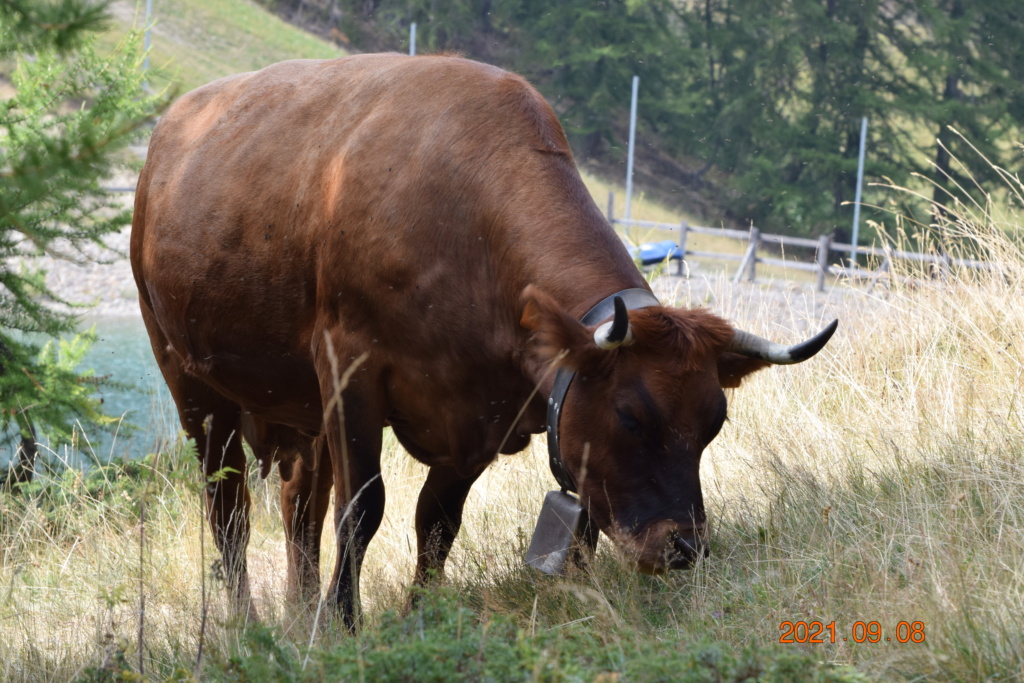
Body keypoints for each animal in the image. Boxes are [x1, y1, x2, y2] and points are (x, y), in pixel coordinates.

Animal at [128, 53, 835, 630]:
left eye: (714, 423)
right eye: (631, 416)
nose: (684, 546)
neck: (461, 226)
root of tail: (174, 124)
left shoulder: (482, 417)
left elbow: (436, 522)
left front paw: (417, 617)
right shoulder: (350, 368)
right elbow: (363, 508)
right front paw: (345, 624)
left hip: (297, 409)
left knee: (299, 504)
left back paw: (299, 612)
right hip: (189, 379)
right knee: (230, 509)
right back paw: (247, 622)